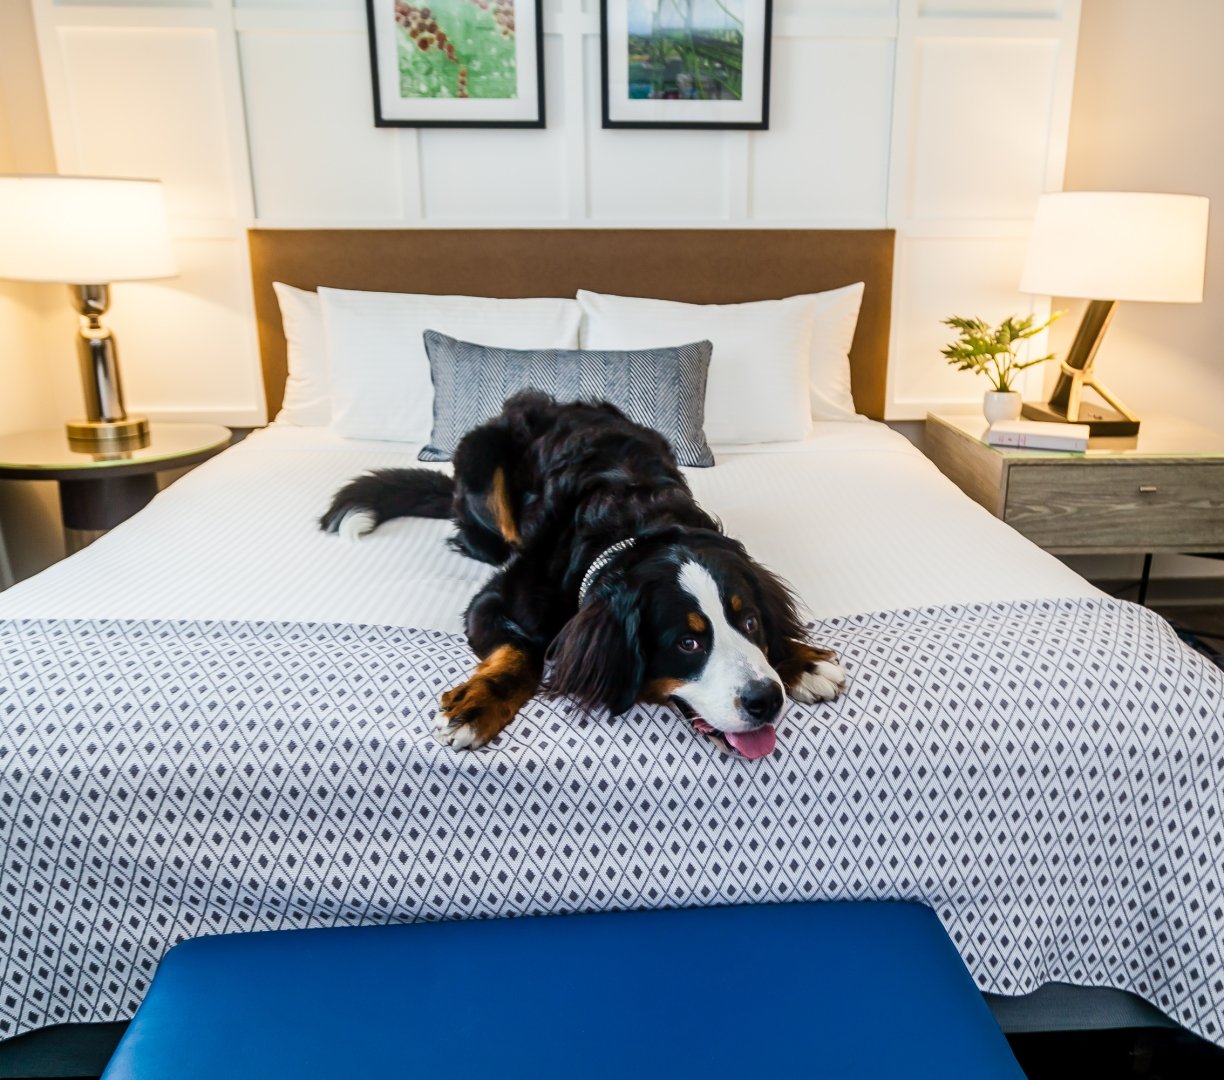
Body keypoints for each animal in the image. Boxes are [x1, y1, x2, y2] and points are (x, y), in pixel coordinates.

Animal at [320, 391, 846, 759]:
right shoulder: (491, 602)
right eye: (687, 643)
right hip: (483, 463)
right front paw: (478, 704)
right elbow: (521, 651)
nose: (766, 700)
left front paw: (800, 659)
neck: (634, 531)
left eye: (751, 622)